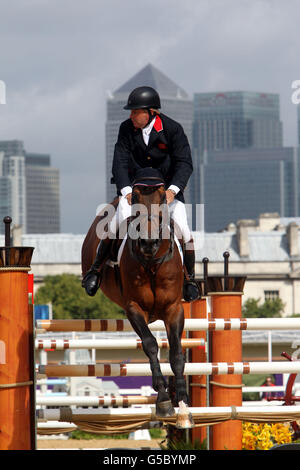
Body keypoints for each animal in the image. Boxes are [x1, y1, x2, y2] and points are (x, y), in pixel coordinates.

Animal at [81, 176, 195, 430]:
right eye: (135, 199)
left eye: (162, 200)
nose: (148, 243)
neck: (151, 263)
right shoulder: (133, 308)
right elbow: (150, 344)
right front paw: (163, 400)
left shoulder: (174, 309)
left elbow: (176, 354)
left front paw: (183, 407)